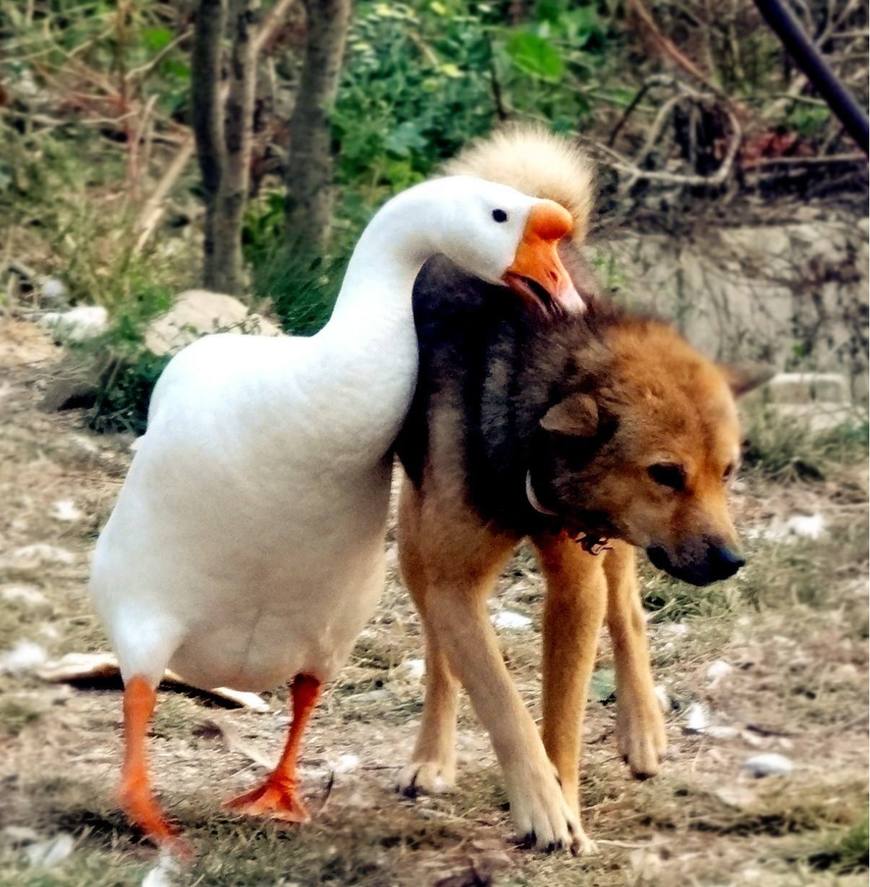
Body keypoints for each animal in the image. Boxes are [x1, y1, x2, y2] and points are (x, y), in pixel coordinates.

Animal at [396, 126, 756, 852]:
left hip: (613, 546)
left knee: (629, 611)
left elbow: (560, 713)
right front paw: (540, 803)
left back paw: (642, 727)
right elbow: (501, 698)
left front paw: (563, 800)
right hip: (413, 547)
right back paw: (432, 756)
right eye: (665, 473)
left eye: (728, 471)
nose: (732, 561)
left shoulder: (577, 583)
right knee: (440, 655)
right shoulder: (454, 587)